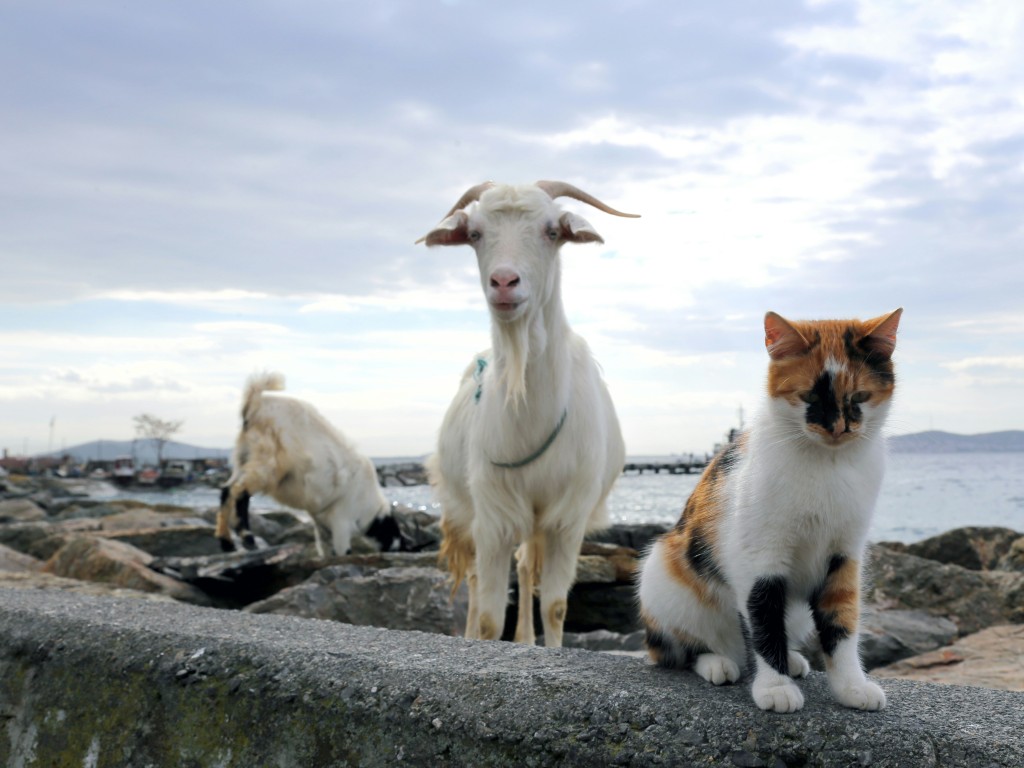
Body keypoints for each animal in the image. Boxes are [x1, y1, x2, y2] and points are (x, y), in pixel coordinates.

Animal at [214, 374, 397, 561]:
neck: (368, 503)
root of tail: (254, 403)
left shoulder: (322, 522)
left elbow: (324, 548)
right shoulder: (342, 520)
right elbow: (342, 551)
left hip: (244, 457)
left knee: (226, 491)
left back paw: (227, 543)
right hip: (267, 463)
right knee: (240, 491)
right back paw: (247, 539)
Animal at [419, 180, 634, 651]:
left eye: (552, 231)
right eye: (475, 233)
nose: (504, 282)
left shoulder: (568, 517)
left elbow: (555, 604)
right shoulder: (493, 513)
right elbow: (488, 615)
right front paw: (484, 642)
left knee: (523, 565)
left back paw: (526, 640)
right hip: (465, 508)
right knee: (476, 580)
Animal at [638, 309, 905, 716]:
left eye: (860, 396)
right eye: (807, 395)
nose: (838, 428)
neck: (827, 463)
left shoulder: (845, 554)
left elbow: (841, 623)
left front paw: (851, 686)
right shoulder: (758, 557)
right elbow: (763, 621)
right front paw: (775, 688)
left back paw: (791, 659)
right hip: (661, 573)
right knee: (678, 650)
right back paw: (718, 662)